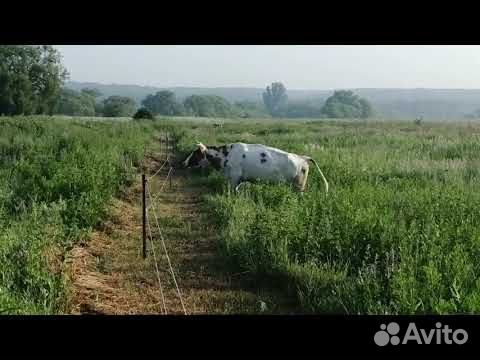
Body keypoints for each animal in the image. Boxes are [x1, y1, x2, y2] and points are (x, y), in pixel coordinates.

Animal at [182, 141, 328, 194]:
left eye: (195, 153)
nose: (184, 163)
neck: (225, 156)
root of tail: (302, 157)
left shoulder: (234, 178)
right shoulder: (238, 181)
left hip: (298, 186)